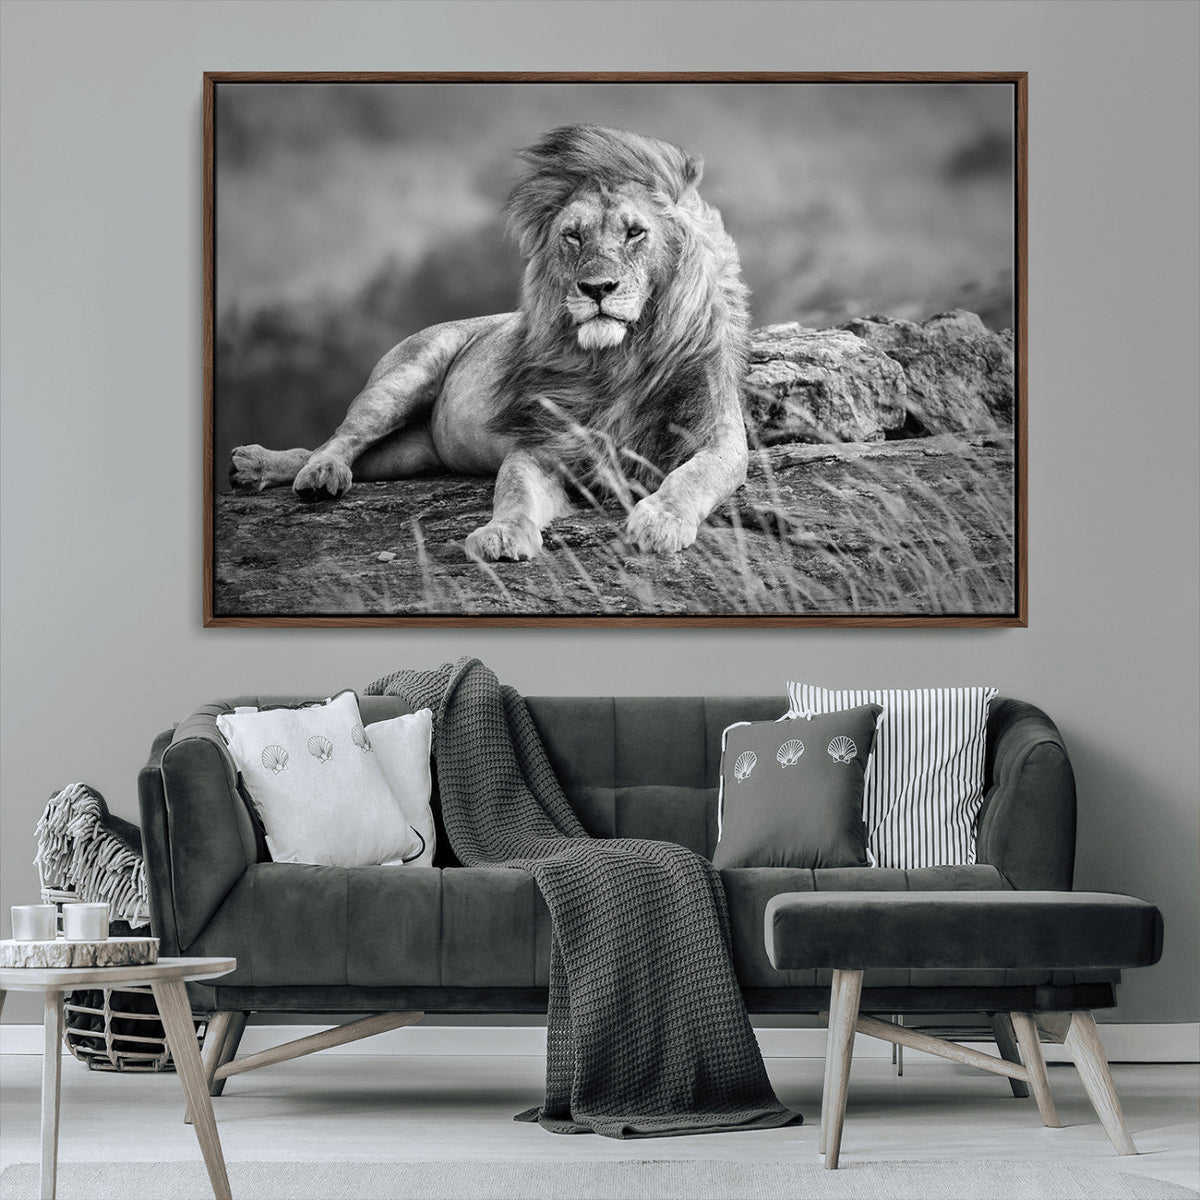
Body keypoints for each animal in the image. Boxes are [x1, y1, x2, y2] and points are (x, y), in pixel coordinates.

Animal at [230, 124, 751, 561]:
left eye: (635, 232)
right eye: (573, 236)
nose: (596, 288)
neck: (618, 359)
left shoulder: (718, 437)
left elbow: (692, 476)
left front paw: (661, 520)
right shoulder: (542, 444)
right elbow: (513, 490)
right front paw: (502, 534)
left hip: (410, 454)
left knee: (342, 452)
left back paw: (258, 468)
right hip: (401, 379)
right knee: (340, 438)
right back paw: (307, 473)